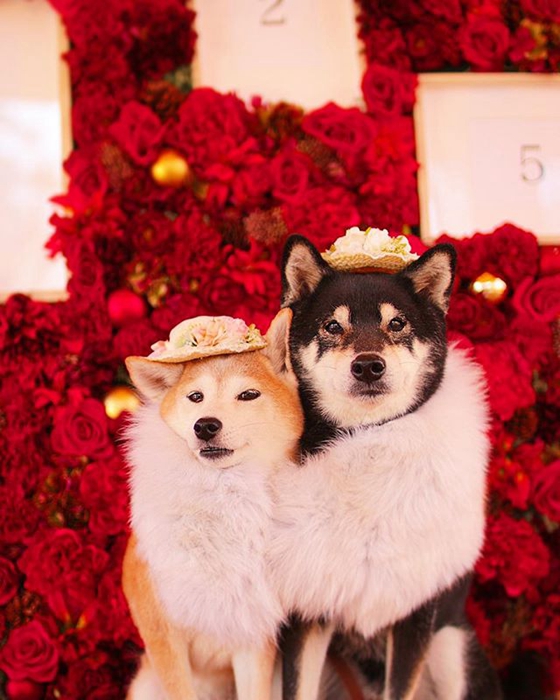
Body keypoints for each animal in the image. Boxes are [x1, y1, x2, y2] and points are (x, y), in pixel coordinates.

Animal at [122, 311, 303, 700]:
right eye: (196, 396)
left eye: (248, 395)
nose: (205, 425)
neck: (221, 502)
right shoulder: (165, 637)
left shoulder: (254, 634)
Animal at [269, 235, 503, 700]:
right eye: (332, 326)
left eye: (397, 324)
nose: (367, 365)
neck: (365, 446)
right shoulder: (307, 608)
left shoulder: (415, 610)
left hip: (450, 646)